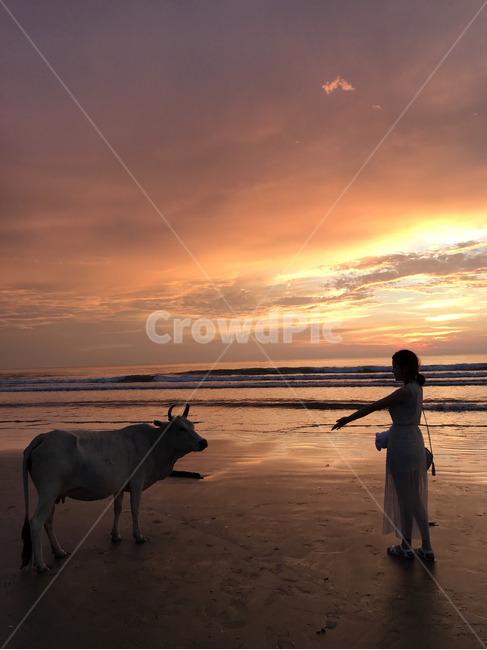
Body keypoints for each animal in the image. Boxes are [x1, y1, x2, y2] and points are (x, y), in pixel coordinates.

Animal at [21, 404, 207, 573]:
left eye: (192, 426)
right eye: (180, 428)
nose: (203, 442)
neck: (154, 444)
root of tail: (43, 437)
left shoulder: (120, 486)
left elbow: (118, 508)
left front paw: (116, 535)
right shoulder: (137, 481)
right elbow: (135, 508)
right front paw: (138, 535)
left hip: (53, 496)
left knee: (48, 521)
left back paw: (58, 551)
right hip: (48, 492)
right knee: (37, 521)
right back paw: (41, 565)